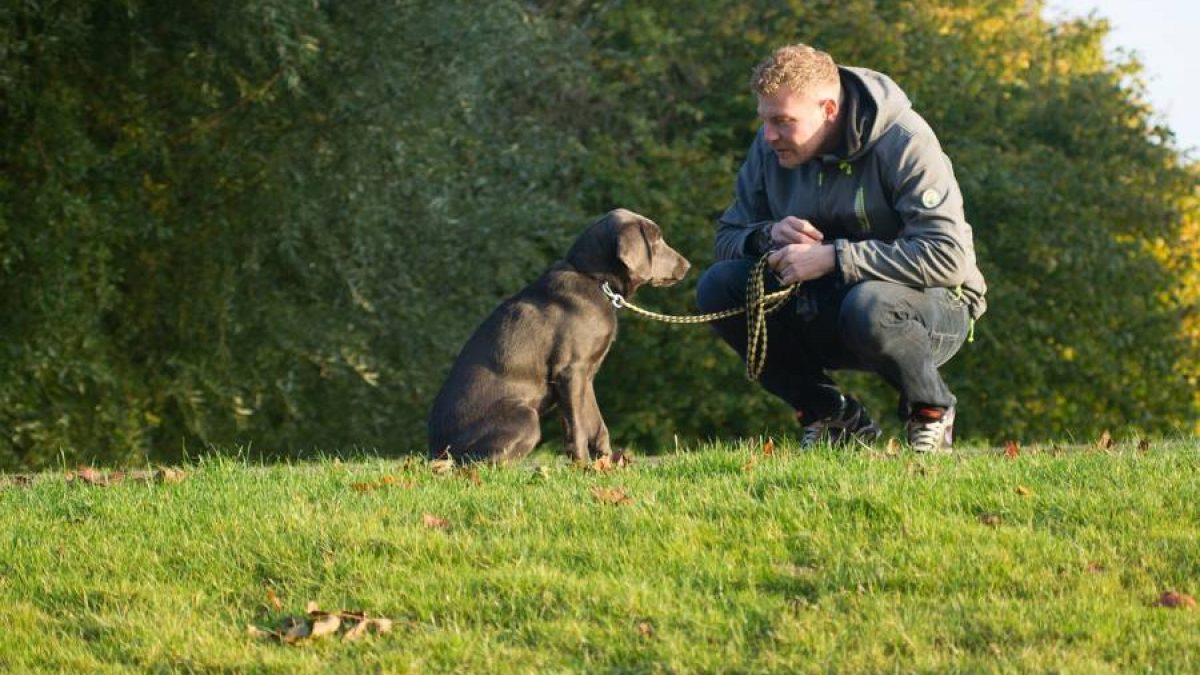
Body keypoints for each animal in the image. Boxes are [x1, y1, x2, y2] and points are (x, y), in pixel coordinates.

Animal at [432, 208, 696, 461]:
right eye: (656, 239)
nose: (687, 265)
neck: (594, 279)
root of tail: (434, 450)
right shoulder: (569, 371)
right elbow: (577, 427)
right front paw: (582, 466)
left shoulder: (586, 376)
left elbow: (598, 426)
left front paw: (606, 464)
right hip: (526, 417)